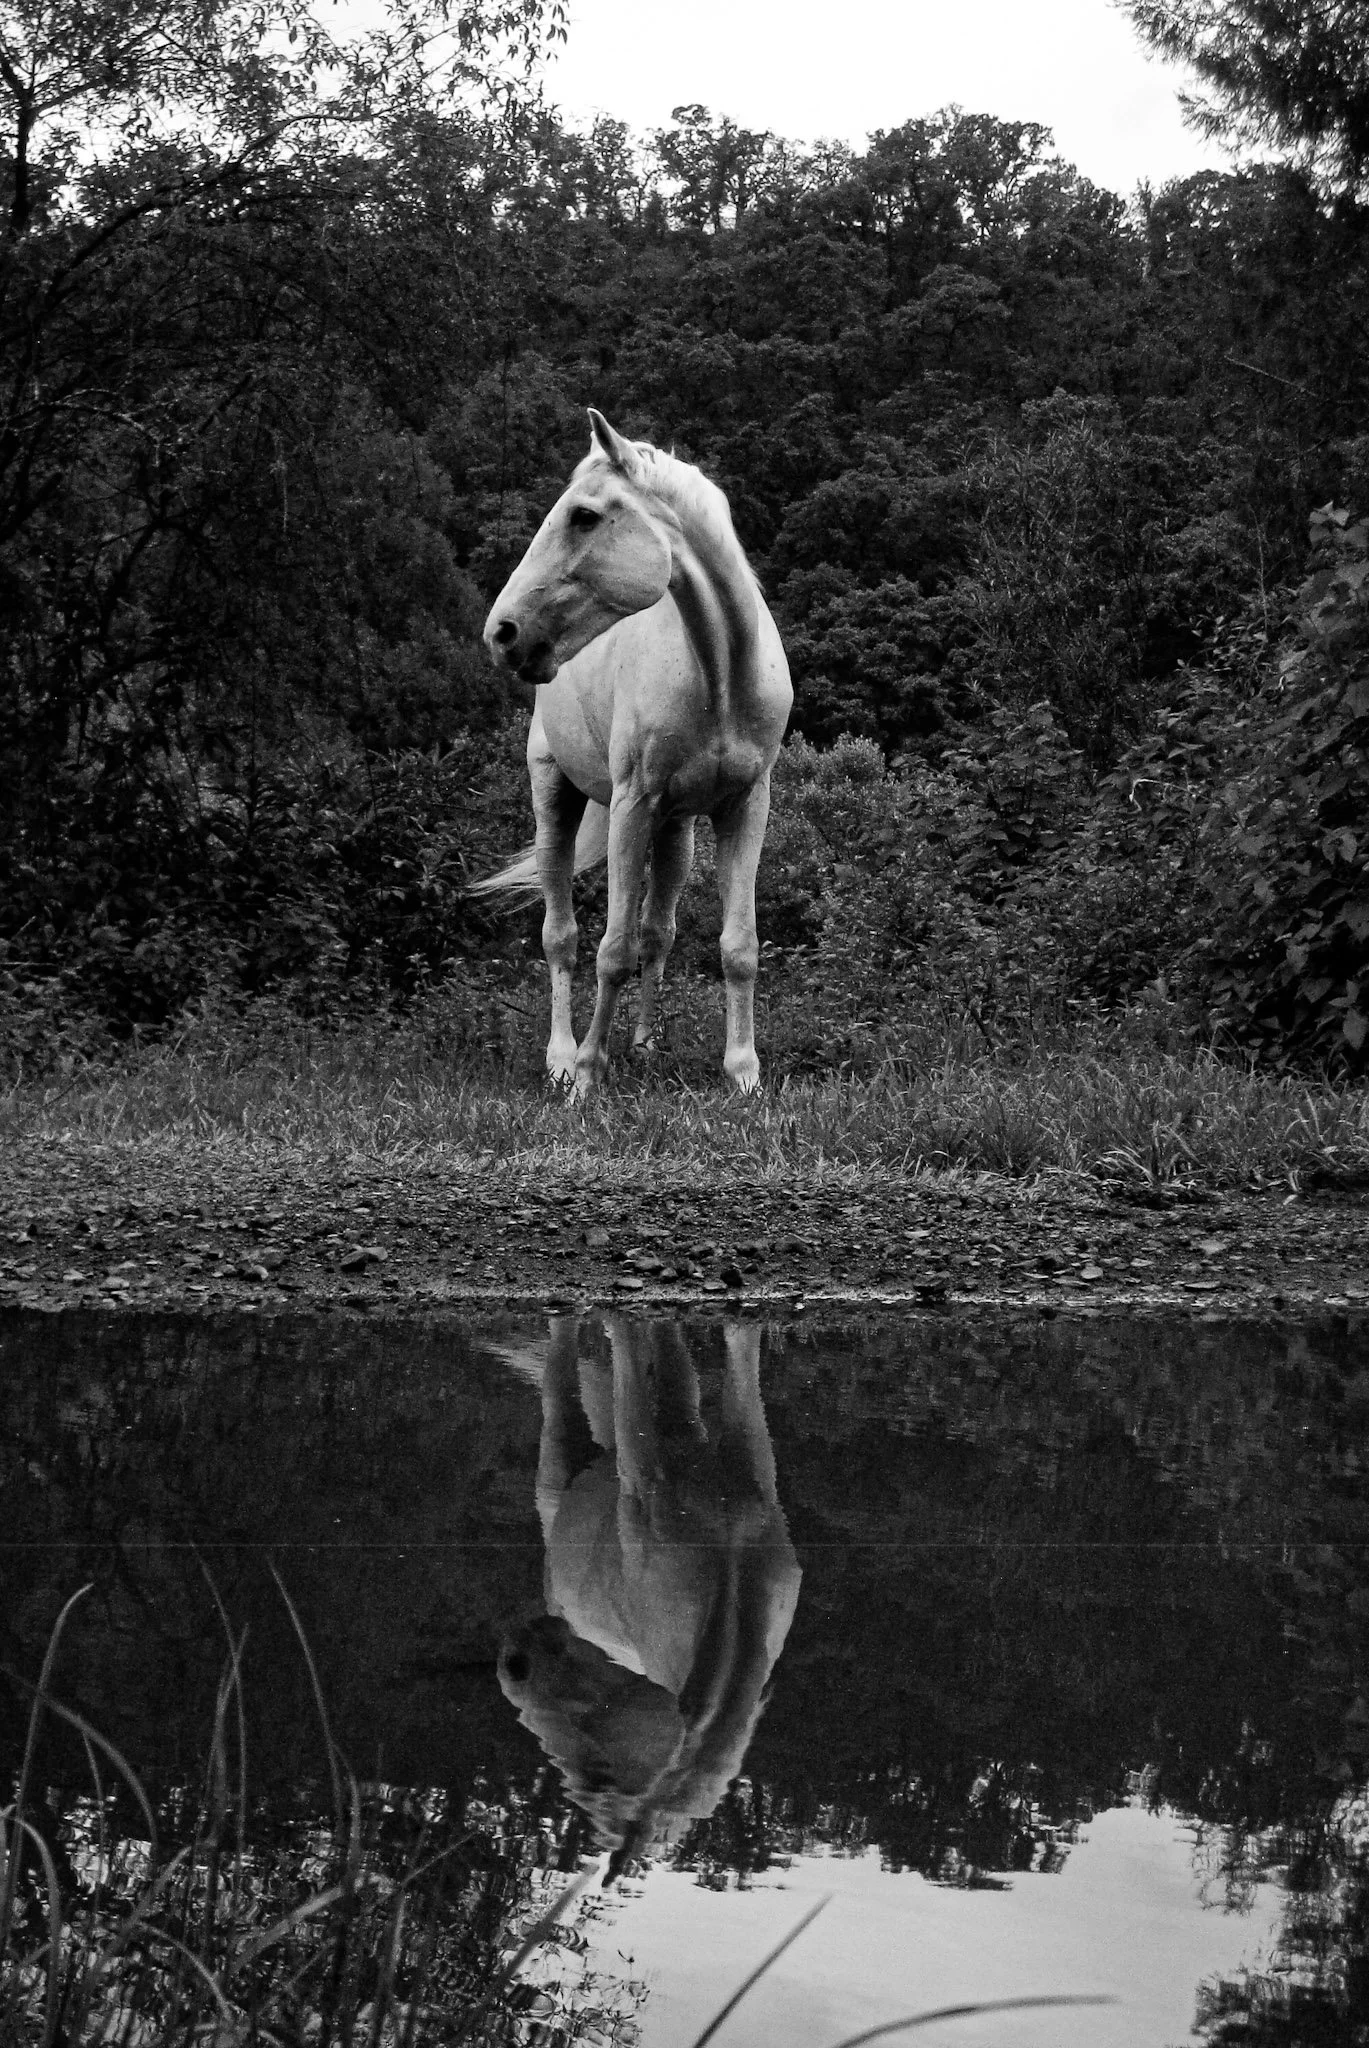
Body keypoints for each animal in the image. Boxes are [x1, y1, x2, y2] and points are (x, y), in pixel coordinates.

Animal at [476, 410, 792, 1094]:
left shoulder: (745, 806)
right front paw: (588, 1077)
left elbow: (737, 946)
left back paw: (645, 1048)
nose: (502, 632)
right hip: (556, 798)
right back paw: (561, 1059)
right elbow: (611, 950)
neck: (720, 673)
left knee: (658, 933)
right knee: (561, 937)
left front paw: (744, 1076)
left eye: (584, 515)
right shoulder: (631, 805)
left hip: (676, 829)